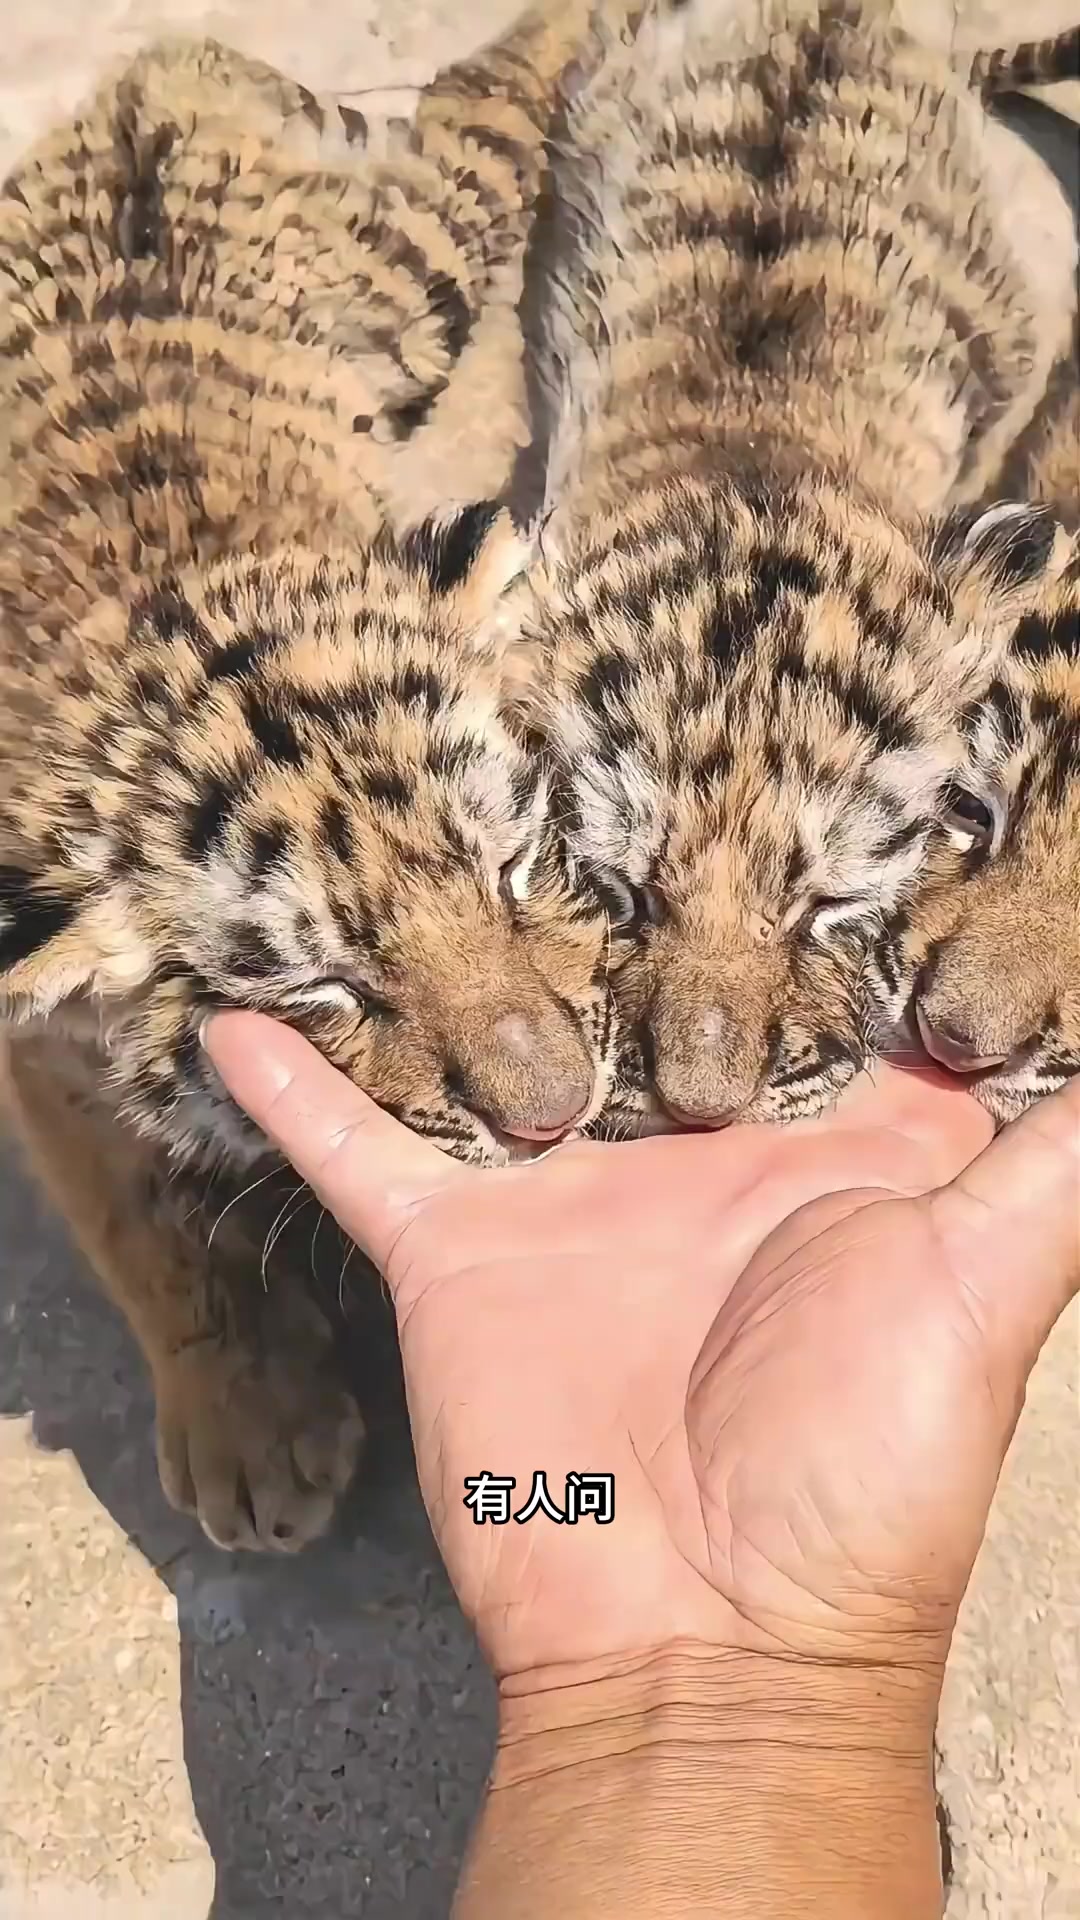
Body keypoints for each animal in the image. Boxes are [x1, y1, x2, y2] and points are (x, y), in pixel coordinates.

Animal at [0, 2, 629, 1553]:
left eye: (512, 867)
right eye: (327, 989)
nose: (555, 1115)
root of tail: (140, 81)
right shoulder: (42, 1048)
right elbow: (145, 1227)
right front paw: (252, 1431)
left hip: (410, 256)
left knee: (478, 96)